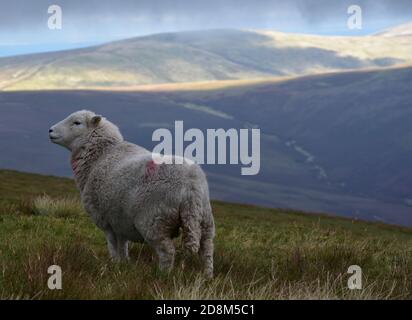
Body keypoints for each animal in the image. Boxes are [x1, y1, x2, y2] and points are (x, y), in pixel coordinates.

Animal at [48, 110, 216, 278]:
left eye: (77, 122)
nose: (50, 130)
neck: (100, 156)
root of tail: (191, 186)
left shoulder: (105, 220)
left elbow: (112, 246)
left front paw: (113, 264)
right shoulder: (119, 221)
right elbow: (123, 246)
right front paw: (123, 265)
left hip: (154, 221)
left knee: (167, 252)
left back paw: (162, 276)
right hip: (204, 219)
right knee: (207, 251)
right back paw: (207, 277)